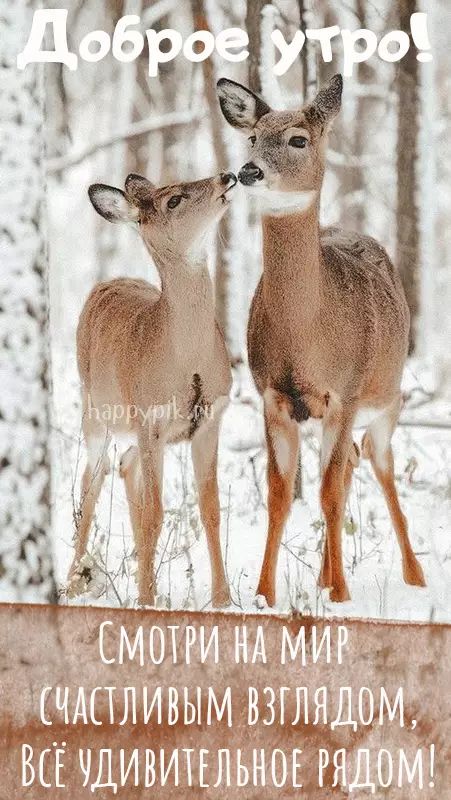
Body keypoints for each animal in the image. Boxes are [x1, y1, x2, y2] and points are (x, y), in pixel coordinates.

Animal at [69, 170, 238, 608]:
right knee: (91, 483)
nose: (226, 176)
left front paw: (224, 599)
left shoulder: (211, 419)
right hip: (95, 410)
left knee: (125, 467)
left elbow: (211, 509)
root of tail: (106, 282)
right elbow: (155, 514)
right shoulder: (151, 419)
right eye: (173, 200)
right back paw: (74, 581)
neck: (186, 361)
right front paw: (146, 600)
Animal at [219, 75, 428, 604]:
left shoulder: (345, 392)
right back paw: (322, 574)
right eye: (252, 137)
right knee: (350, 461)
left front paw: (341, 596)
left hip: (388, 395)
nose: (249, 171)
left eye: (298, 139)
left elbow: (329, 492)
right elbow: (280, 493)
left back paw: (414, 575)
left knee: (378, 460)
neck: (306, 334)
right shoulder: (272, 394)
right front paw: (265, 595)